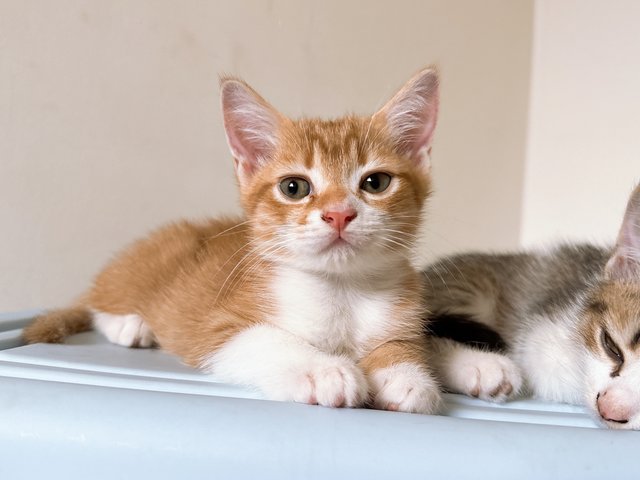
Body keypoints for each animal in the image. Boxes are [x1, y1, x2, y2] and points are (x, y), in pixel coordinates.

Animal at [26, 67, 444, 412]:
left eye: (376, 182)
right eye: (294, 187)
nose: (338, 213)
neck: (342, 291)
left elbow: (404, 342)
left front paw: (405, 375)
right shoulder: (215, 327)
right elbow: (263, 339)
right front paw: (324, 370)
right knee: (98, 305)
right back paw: (131, 325)